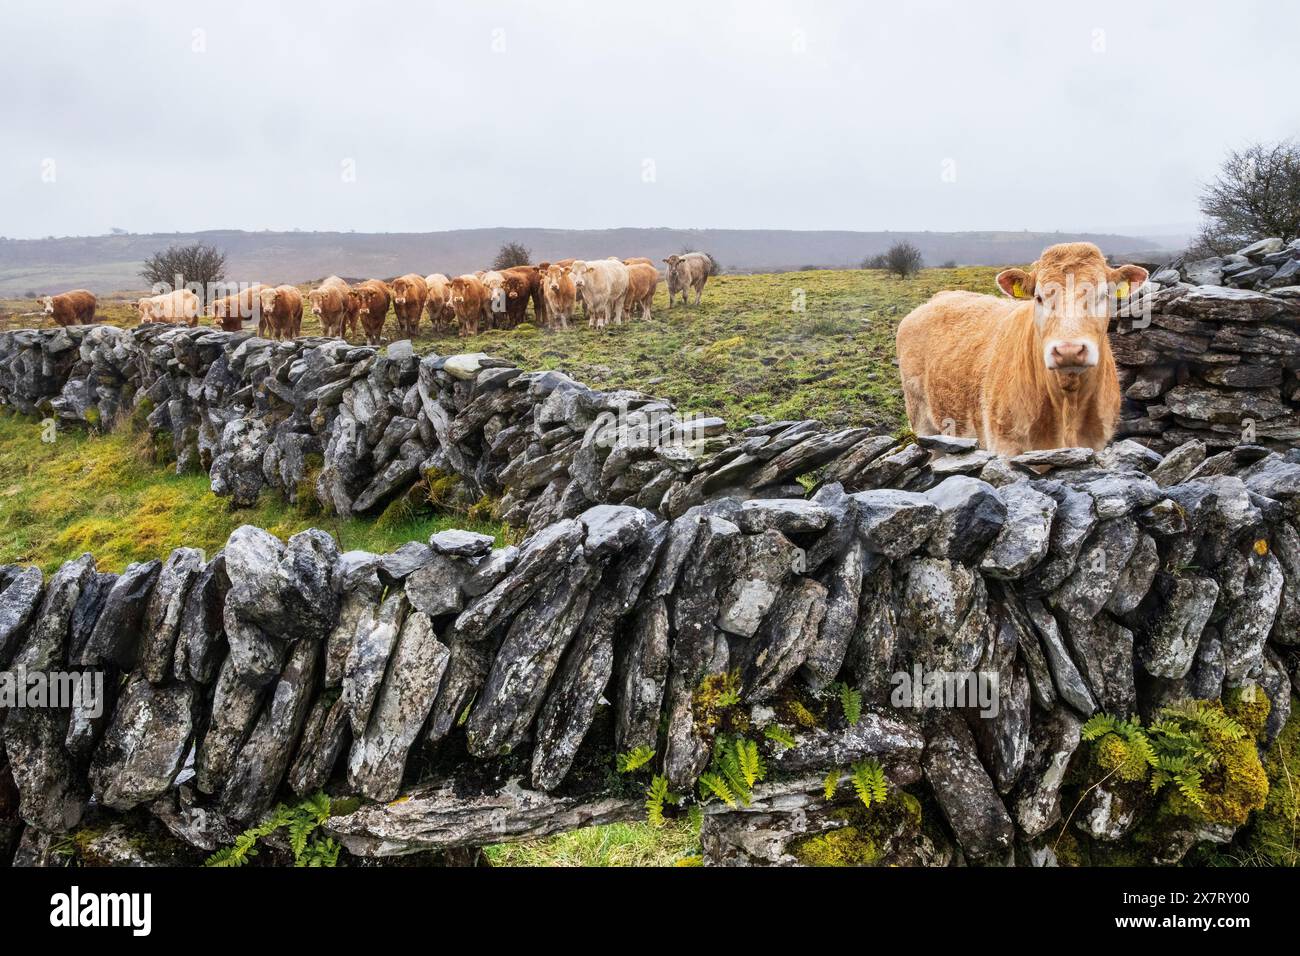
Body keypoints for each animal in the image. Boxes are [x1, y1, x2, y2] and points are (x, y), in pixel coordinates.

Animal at [894, 244, 1149, 457]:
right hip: (922, 420)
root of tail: (940, 297)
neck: (1068, 406)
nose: (1069, 350)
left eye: (1103, 295)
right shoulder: (1004, 447)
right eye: (1038, 297)